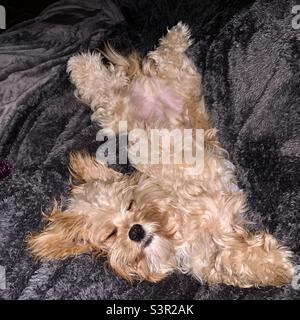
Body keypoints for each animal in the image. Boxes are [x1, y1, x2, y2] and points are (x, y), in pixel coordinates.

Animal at [28, 22, 296, 288]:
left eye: (131, 204)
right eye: (111, 234)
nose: (135, 231)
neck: (174, 230)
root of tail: (139, 87)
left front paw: (277, 266)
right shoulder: (207, 253)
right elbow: (227, 260)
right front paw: (274, 267)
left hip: (175, 81)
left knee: (154, 62)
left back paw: (170, 38)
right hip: (116, 113)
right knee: (106, 87)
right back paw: (83, 64)